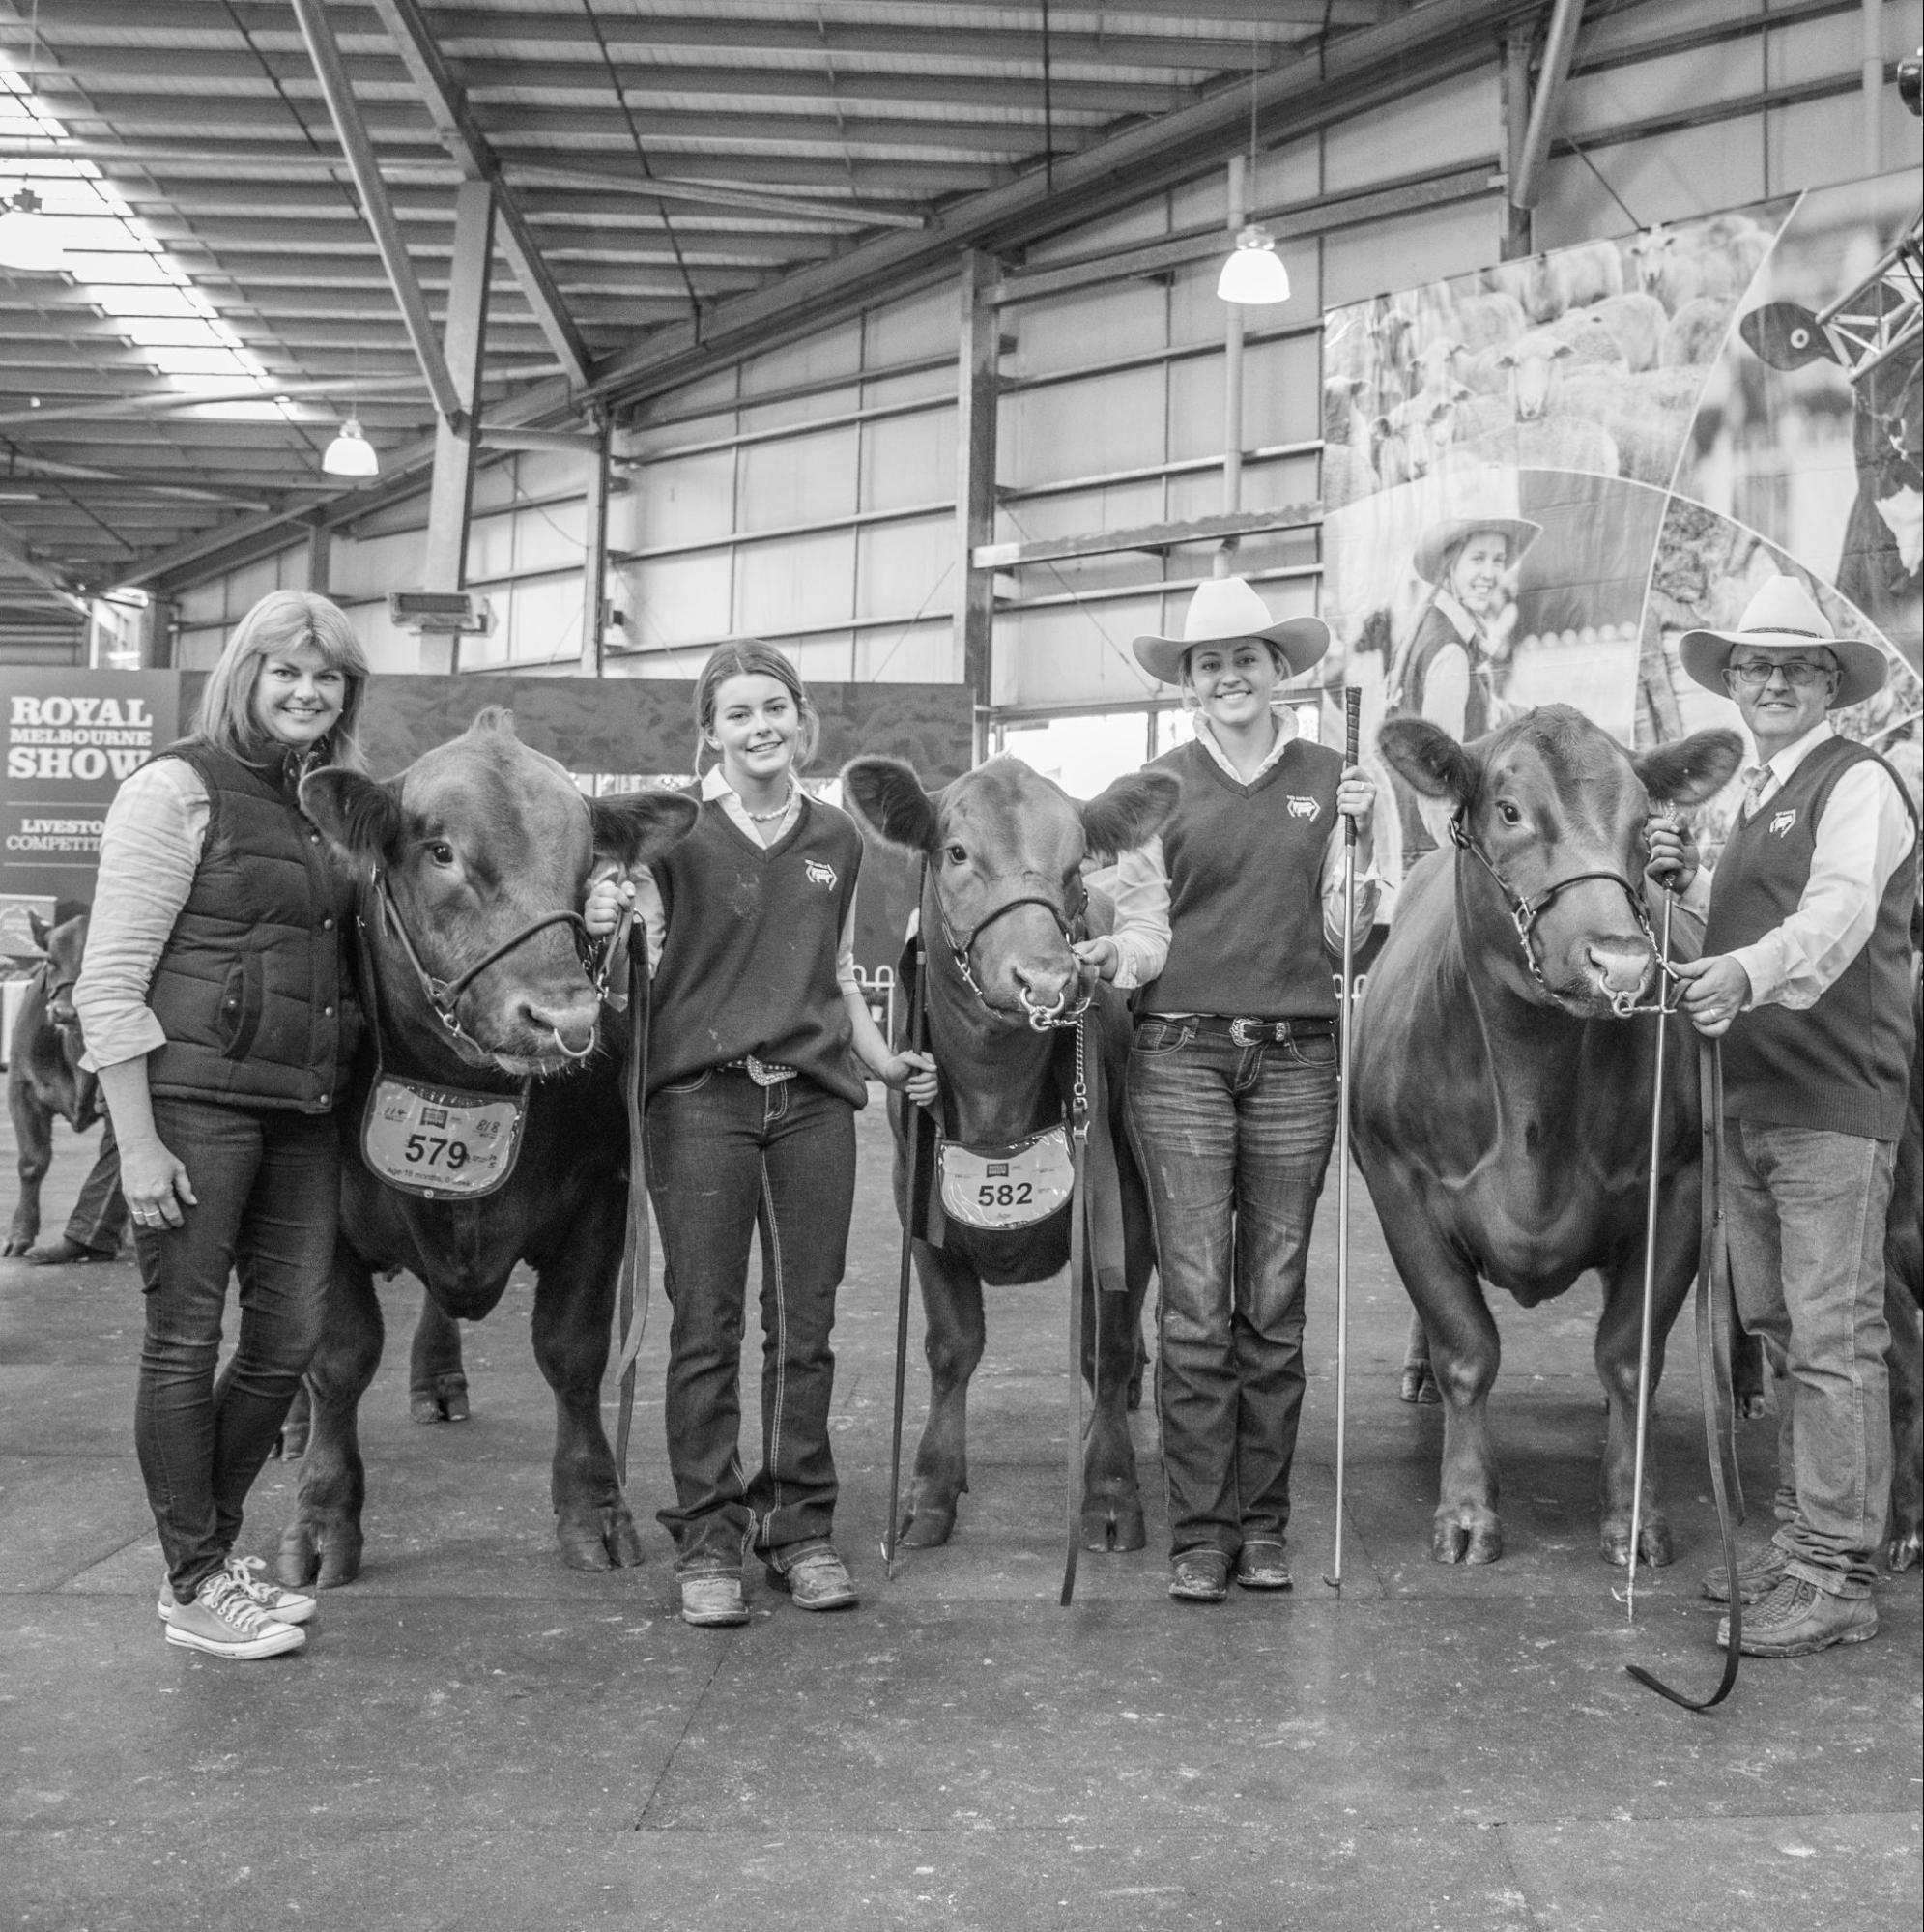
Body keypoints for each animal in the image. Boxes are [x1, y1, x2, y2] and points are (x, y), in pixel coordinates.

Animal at [1352, 710, 1746, 1569]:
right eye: (1508, 811)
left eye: (1642, 822)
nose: (1620, 961)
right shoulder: (1396, 1182)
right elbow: (1465, 1347)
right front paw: (1467, 1512)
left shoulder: (1679, 1184)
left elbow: (1629, 1355)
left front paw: (1632, 1515)